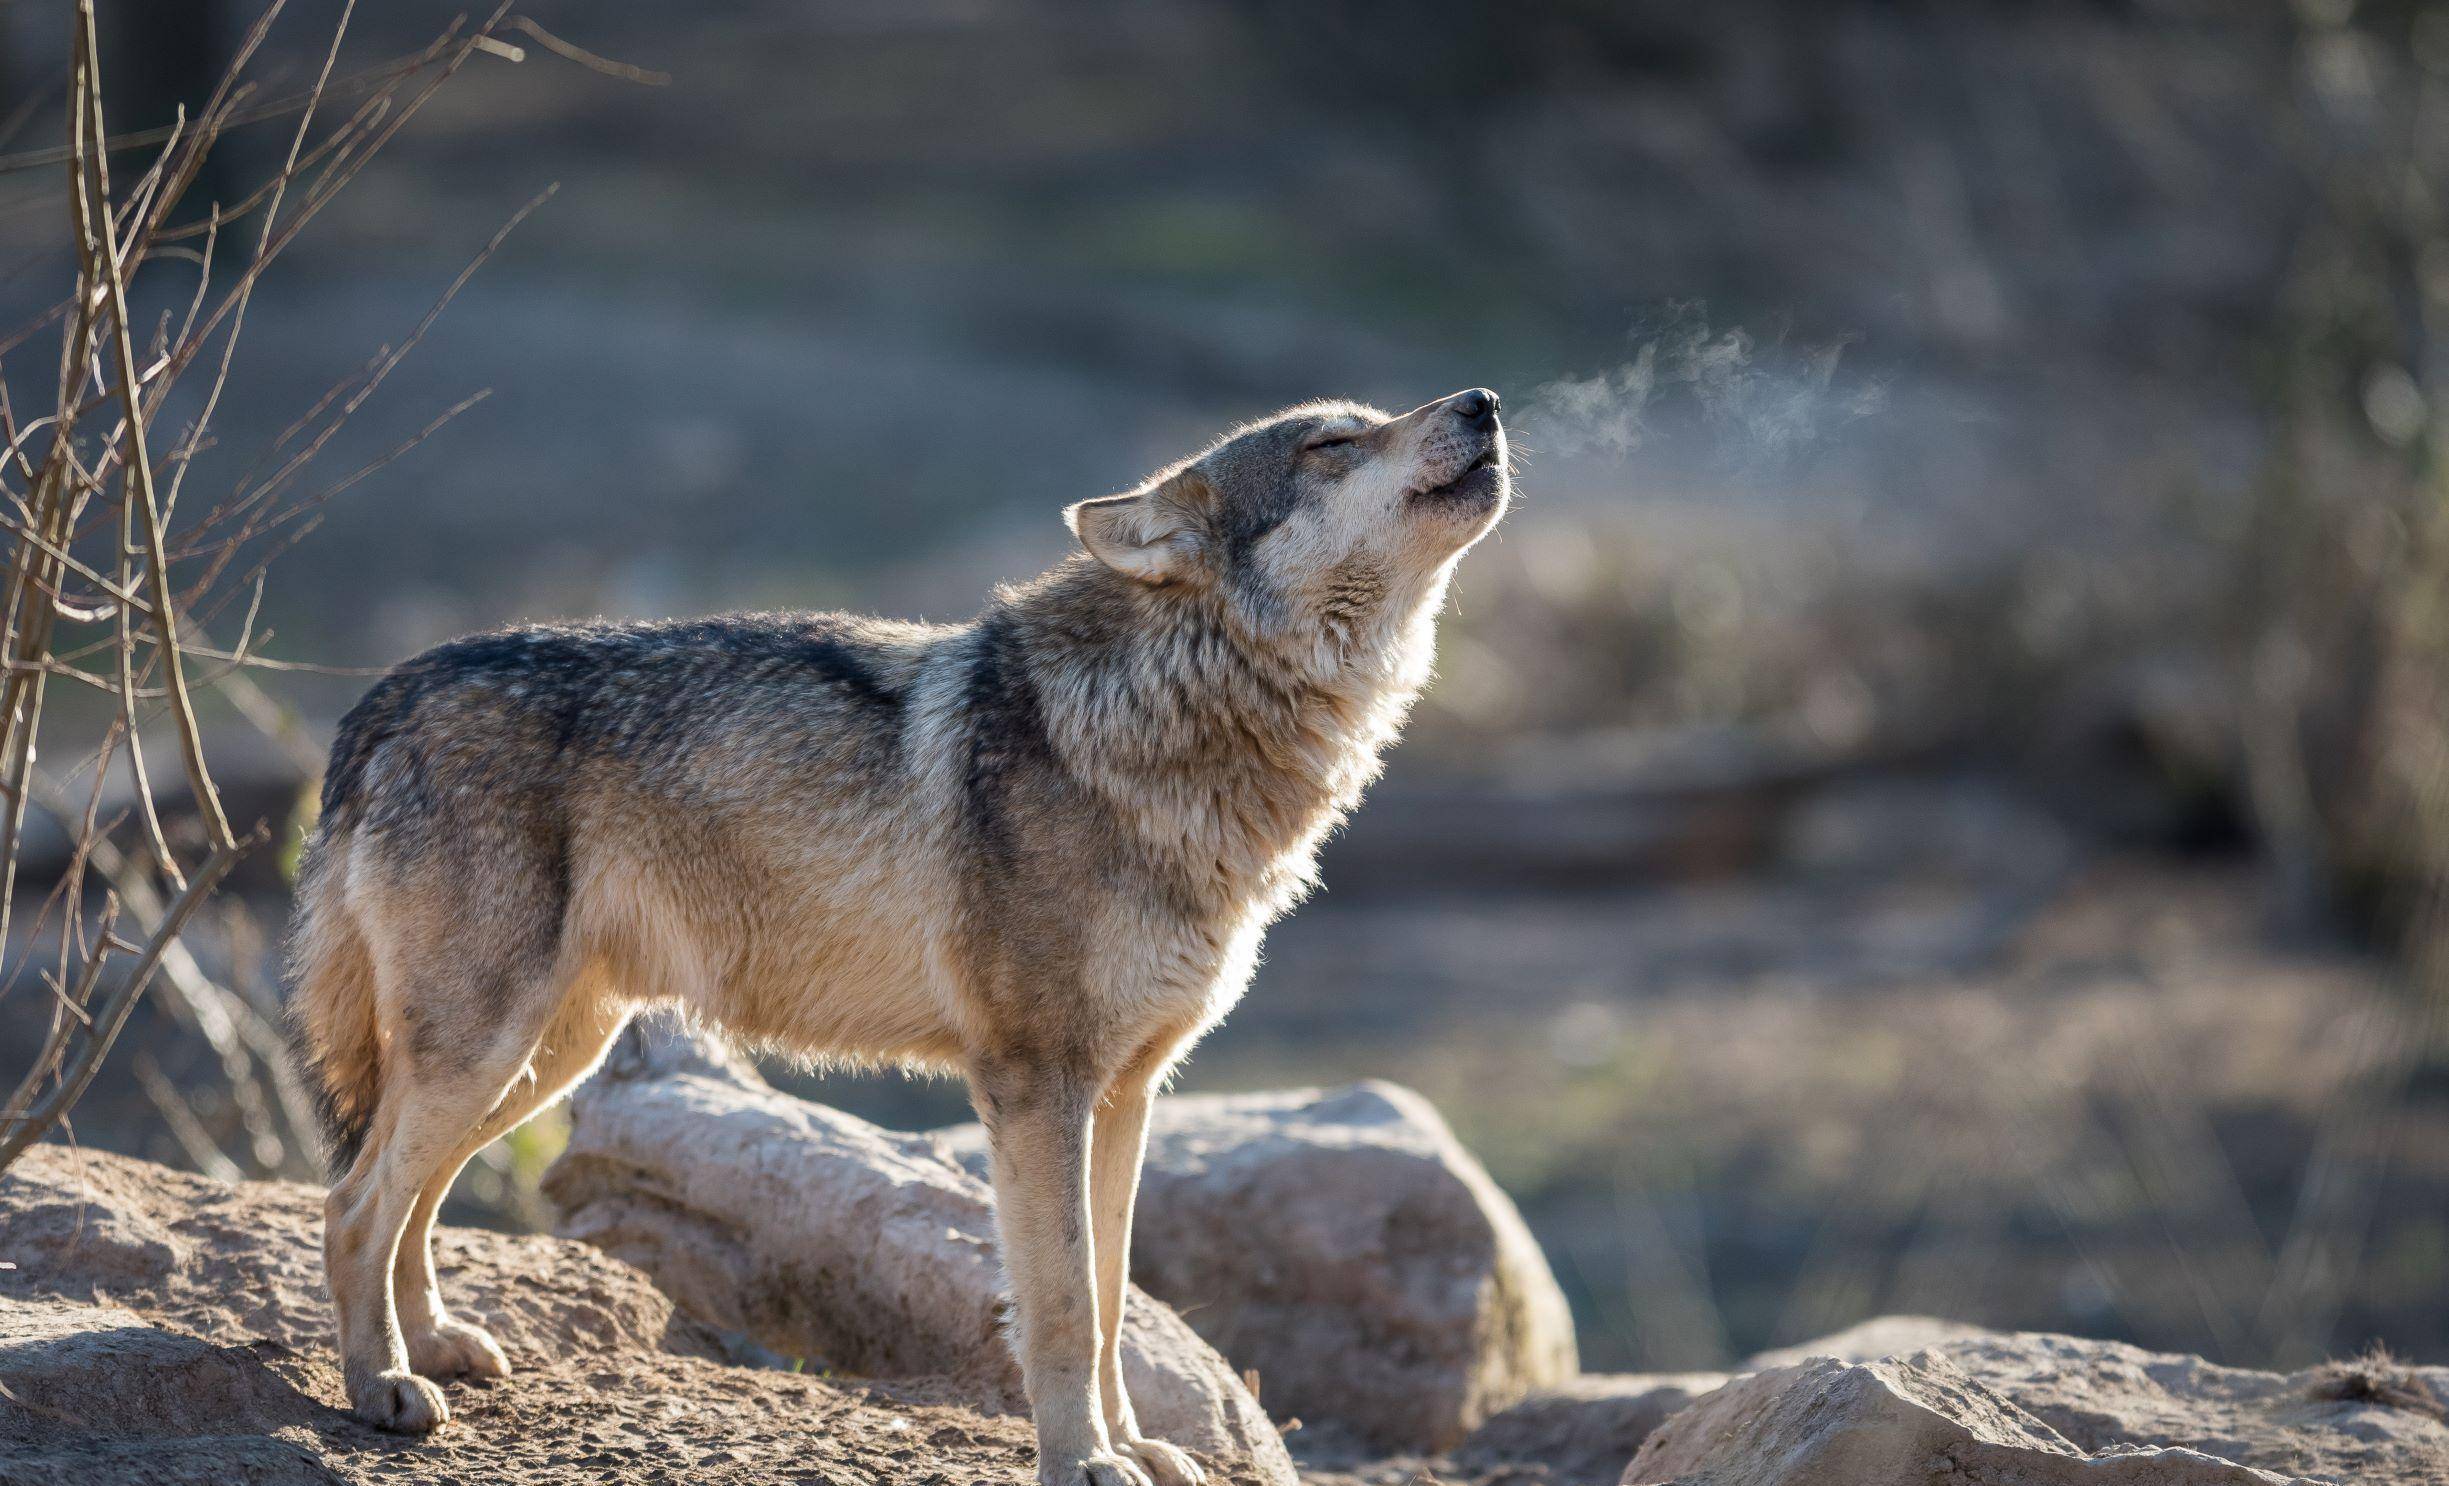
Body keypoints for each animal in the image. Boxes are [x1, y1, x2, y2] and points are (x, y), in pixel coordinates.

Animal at [288, 389, 1508, 1478]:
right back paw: (381, 1387)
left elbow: (1113, 1300)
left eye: (1374, 419)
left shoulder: (1127, 1092)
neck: (1161, 716)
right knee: (352, 1205)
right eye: (1332, 443)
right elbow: (1063, 1305)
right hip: (488, 1049)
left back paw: (434, 1346)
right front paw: (1083, 1462)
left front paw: (1135, 1448)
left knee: (410, 1200)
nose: (1484, 401)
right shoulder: (1035, 1085)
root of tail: (387, 694)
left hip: (542, 1058)